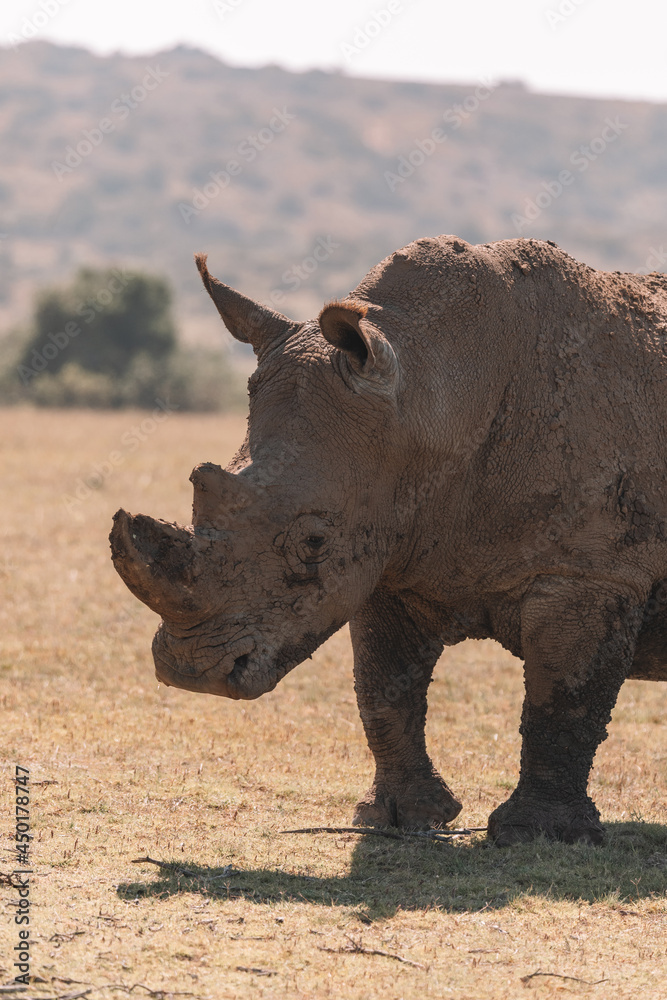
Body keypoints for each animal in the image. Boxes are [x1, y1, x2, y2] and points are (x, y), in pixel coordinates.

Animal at [110, 235, 667, 845]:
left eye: (313, 543)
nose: (195, 672)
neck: (436, 391)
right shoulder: (385, 548)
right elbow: (382, 690)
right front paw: (402, 818)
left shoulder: (590, 570)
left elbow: (563, 699)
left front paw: (539, 836)